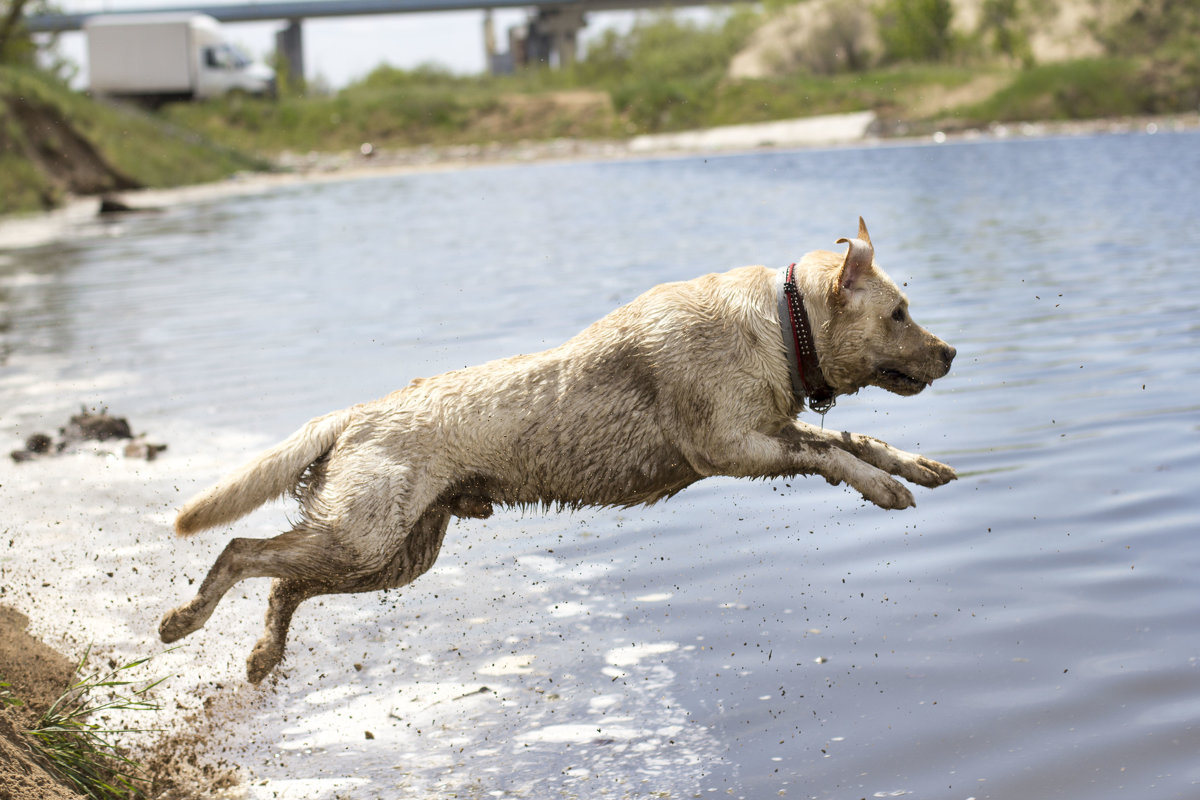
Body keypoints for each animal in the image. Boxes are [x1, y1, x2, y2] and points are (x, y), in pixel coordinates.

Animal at [157, 217, 955, 681]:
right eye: (899, 313)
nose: (950, 352)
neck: (782, 326)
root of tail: (351, 414)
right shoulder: (730, 448)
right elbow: (832, 457)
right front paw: (885, 488)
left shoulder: (774, 430)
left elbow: (856, 438)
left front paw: (914, 466)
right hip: (364, 537)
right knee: (243, 553)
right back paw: (182, 621)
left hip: (398, 555)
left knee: (285, 585)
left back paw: (263, 655)